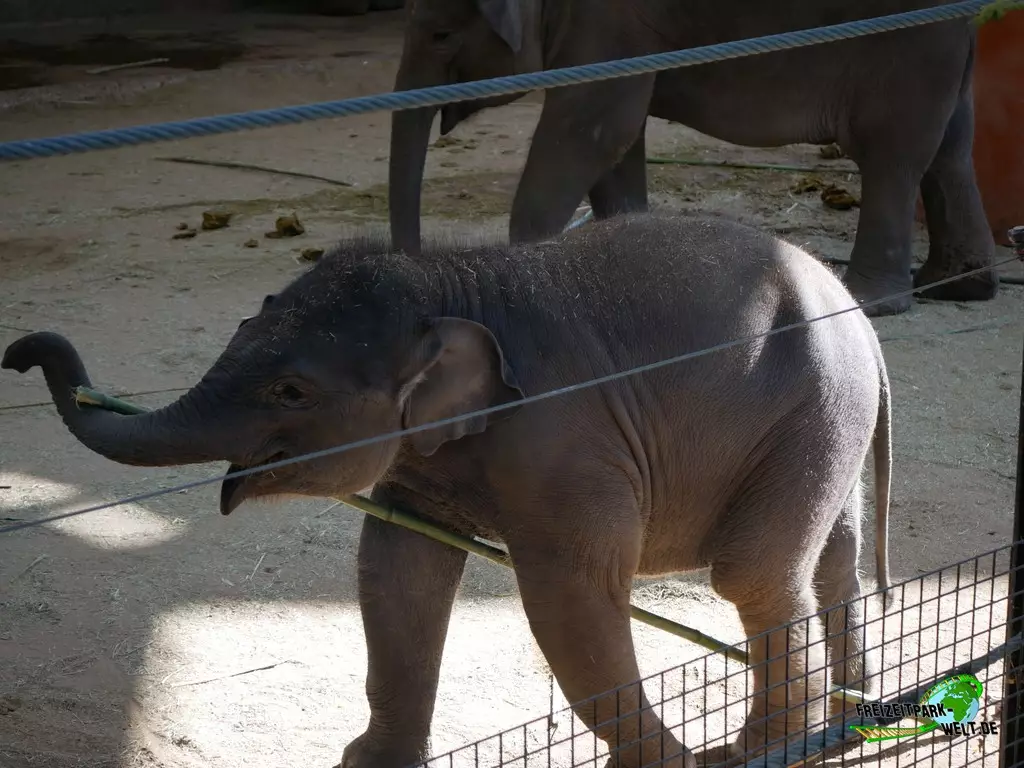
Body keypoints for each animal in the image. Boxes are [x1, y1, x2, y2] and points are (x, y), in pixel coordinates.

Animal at [2, 212, 893, 768]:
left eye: (291, 391)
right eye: (240, 332)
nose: (18, 350)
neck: (450, 280)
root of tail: (858, 312)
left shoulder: (567, 442)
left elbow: (570, 601)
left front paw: (674, 764)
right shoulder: (422, 462)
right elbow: (398, 572)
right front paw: (366, 764)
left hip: (813, 406)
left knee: (754, 575)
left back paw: (762, 751)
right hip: (824, 419)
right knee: (831, 560)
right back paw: (846, 721)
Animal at [387, 0, 999, 317]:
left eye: (441, 33)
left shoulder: (607, 22)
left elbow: (595, 126)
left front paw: (529, 269)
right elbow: (618, 141)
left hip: (906, 52)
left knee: (892, 158)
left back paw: (871, 301)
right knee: (949, 151)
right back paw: (956, 286)